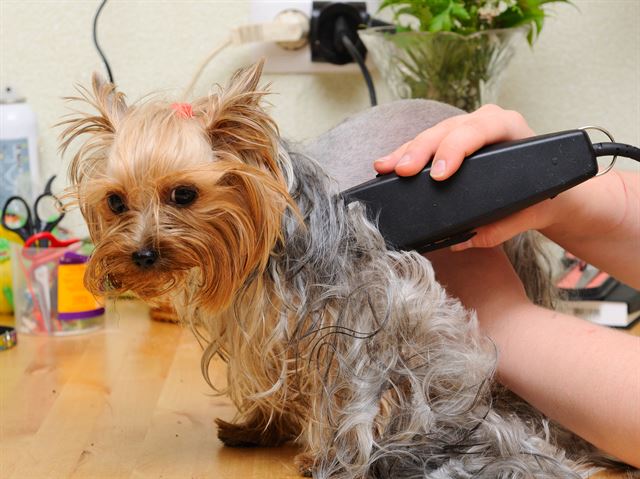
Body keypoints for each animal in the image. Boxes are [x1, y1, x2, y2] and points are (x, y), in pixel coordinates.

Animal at [62, 62, 628, 478]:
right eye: (115, 202)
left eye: (183, 194)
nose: (142, 256)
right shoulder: (259, 325)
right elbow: (275, 378)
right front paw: (260, 427)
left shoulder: (349, 315)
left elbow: (342, 393)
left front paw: (322, 455)